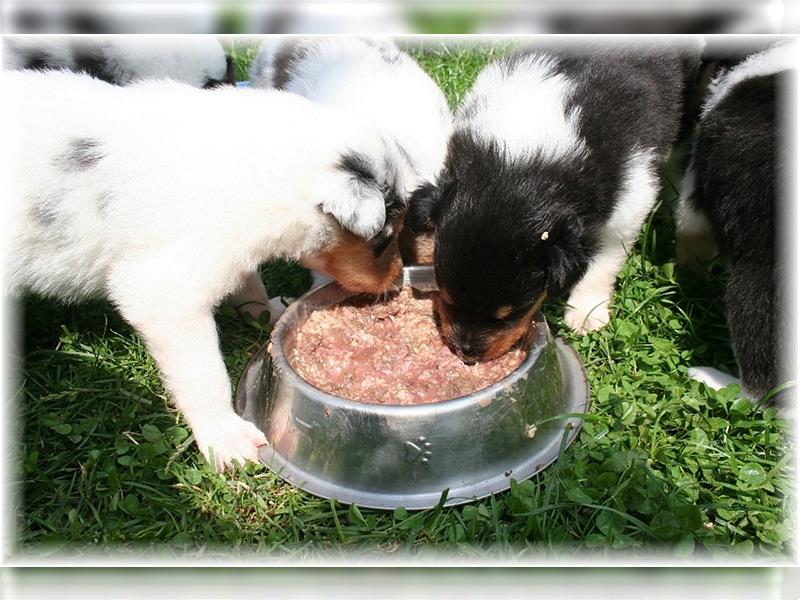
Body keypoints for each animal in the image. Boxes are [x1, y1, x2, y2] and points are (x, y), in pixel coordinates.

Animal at [1, 70, 406, 472]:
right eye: (385, 238)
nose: (399, 281)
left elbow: (249, 282)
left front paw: (267, 312)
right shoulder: (167, 294)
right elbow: (205, 374)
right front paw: (227, 438)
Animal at [410, 43, 696, 360]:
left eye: (511, 313)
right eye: (445, 296)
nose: (466, 353)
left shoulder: (631, 196)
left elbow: (603, 261)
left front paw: (585, 315)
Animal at [676, 41, 792, 398]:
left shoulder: (696, 186)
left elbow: (689, 234)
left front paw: (690, 277)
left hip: (755, 290)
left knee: (763, 389)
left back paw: (712, 379)